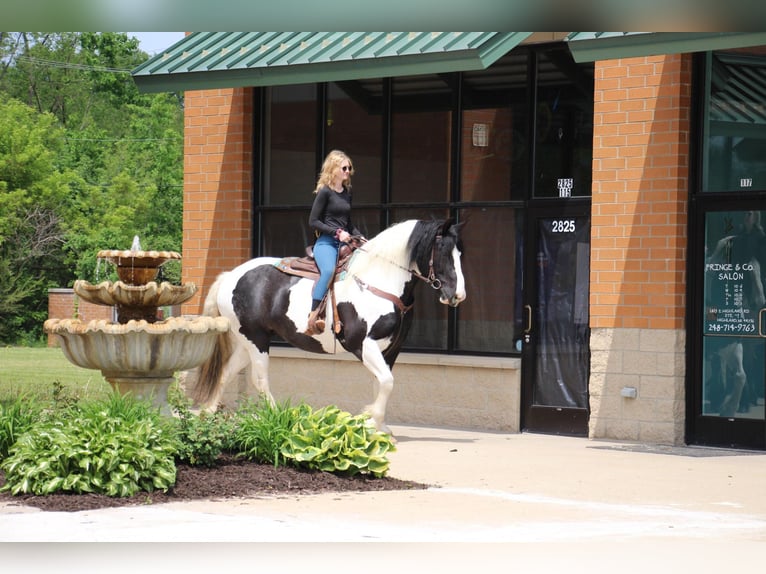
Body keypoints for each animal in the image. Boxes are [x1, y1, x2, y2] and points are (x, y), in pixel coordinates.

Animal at [192, 218, 468, 434]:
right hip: (256, 339)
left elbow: (381, 382)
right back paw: (279, 417)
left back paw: (208, 412)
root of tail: (230, 275)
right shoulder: (363, 345)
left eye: (460, 255)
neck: (378, 282)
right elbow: (387, 382)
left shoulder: (391, 350)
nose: (457, 295)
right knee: (259, 379)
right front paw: (371, 421)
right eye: (444, 252)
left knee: (226, 372)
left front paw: (379, 426)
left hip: (246, 341)